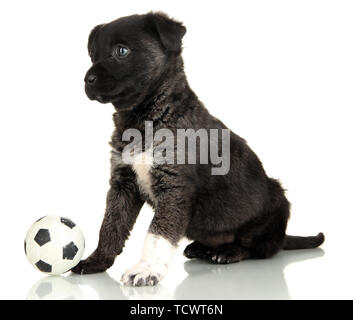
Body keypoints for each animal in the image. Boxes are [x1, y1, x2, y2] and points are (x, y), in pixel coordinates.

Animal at [72, 13, 324, 288]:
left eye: (121, 51)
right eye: (93, 55)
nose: (87, 80)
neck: (143, 120)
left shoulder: (174, 188)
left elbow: (156, 234)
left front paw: (146, 269)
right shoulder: (123, 183)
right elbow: (111, 226)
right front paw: (97, 261)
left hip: (276, 202)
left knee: (259, 248)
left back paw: (228, 251)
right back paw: (202, 248)